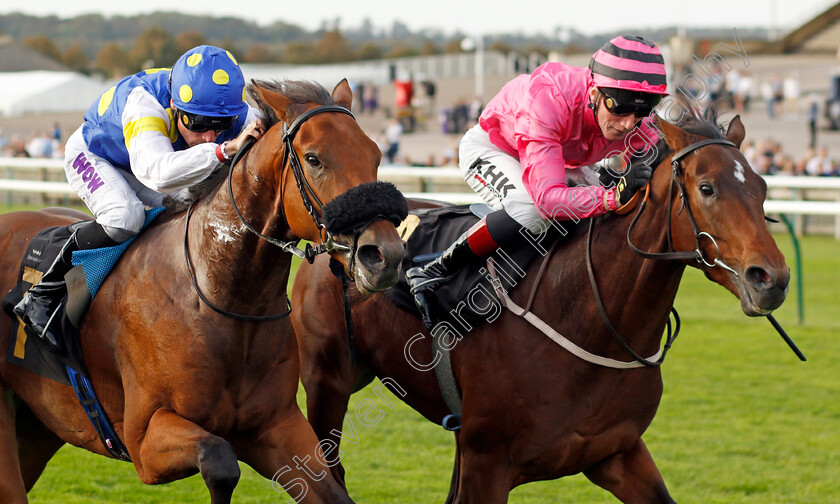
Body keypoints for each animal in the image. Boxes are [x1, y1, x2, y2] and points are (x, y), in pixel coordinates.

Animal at [0, 79, 406, 504]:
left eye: (376, 154)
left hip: (39, 426)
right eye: (313, 159)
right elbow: (219, 460)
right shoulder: (144, 441)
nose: (385, 256)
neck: (219, 298)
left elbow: (332, 491)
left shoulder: (276, 425)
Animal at [292, 111, 792, 504]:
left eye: (763, 185)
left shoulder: (617, 452)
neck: (589, 317)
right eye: (707, 188)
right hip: (328, 380)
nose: (772, 279)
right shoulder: (485, 463)